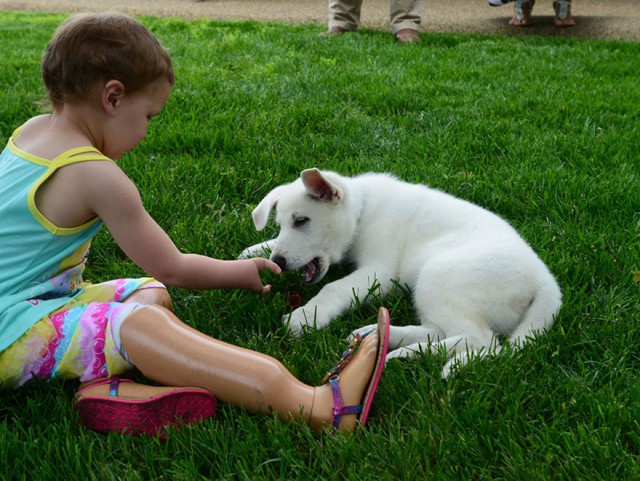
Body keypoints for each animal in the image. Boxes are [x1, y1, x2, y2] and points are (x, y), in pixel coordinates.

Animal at [240, 167, 560, 376]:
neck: (362, 212)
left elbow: (333, 287)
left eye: (302, 220)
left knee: (481, 340)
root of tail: (547, 283)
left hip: (438, 277)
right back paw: (384, 337)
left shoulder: (379, 274)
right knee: (440, 331)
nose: (279, 262)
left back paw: (410, 353)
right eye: (281, 224)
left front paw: (306, 316)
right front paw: (254, 252)